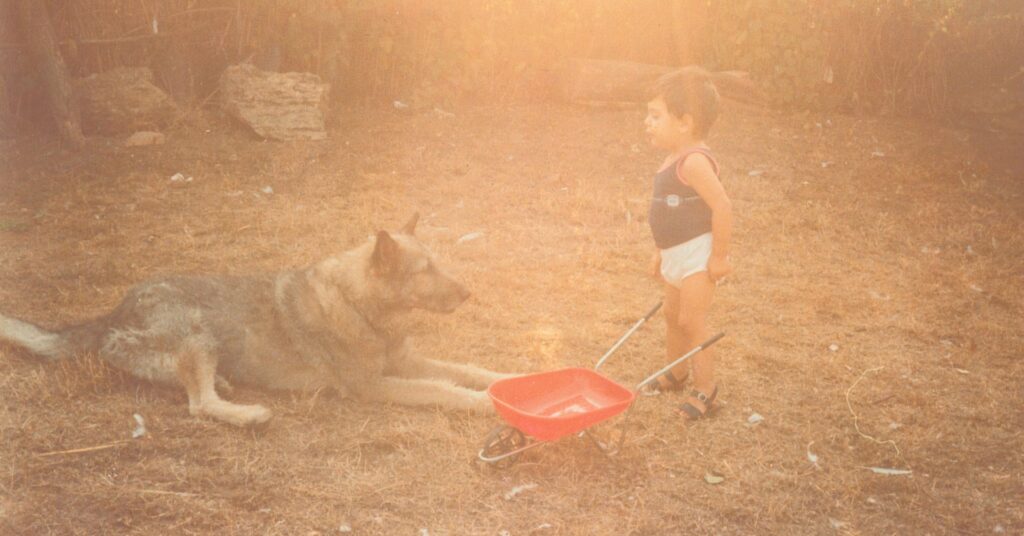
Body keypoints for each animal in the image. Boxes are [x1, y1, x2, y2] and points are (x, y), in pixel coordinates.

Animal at [0, 214, 512, 428]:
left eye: (438, 264)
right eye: (425, 270)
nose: (468, 293)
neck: (359, 304)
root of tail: (116, 309)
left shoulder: (407, 362)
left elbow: (469, 371)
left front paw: (508, 380)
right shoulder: (375, 385)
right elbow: (445, 390)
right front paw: (485, 404)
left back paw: (227, 385)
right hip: (197, 332)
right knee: (198, 404)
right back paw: (249, 414)